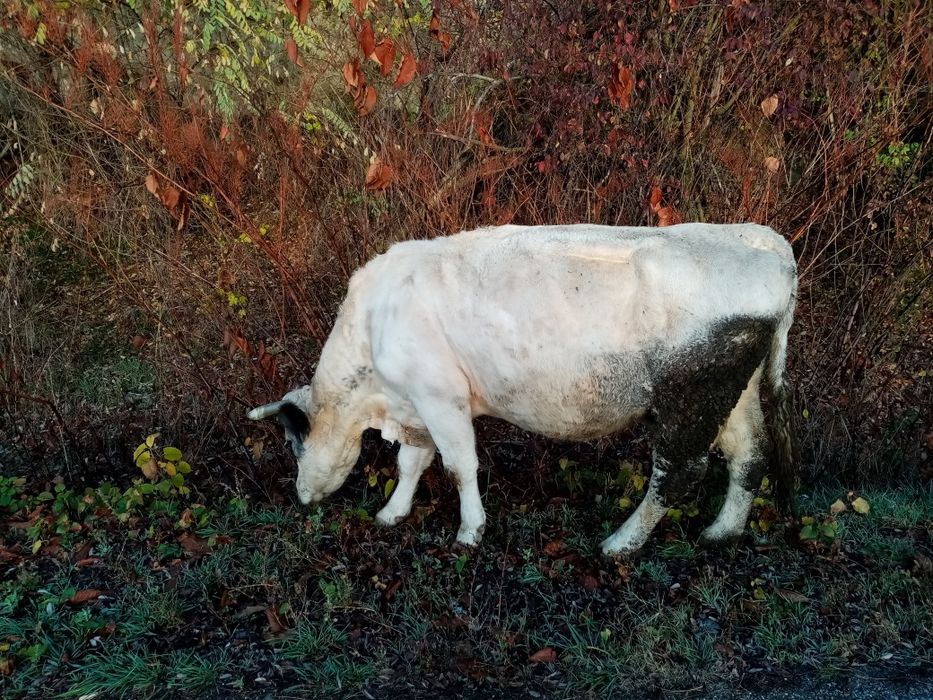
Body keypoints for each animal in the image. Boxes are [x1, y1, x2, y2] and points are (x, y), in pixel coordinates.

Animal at [248, 223, 798, 556]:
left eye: (293, 442)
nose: (301, 497)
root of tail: (760, 240)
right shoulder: (418, 405)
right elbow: (412, 462)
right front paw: (391, 514)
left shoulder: (439, 395)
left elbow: (459, 466)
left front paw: (469, 532)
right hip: (735, 391)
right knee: (750, 452)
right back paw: (722, 531)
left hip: (693, 396)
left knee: (679, 471)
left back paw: (620, 543)